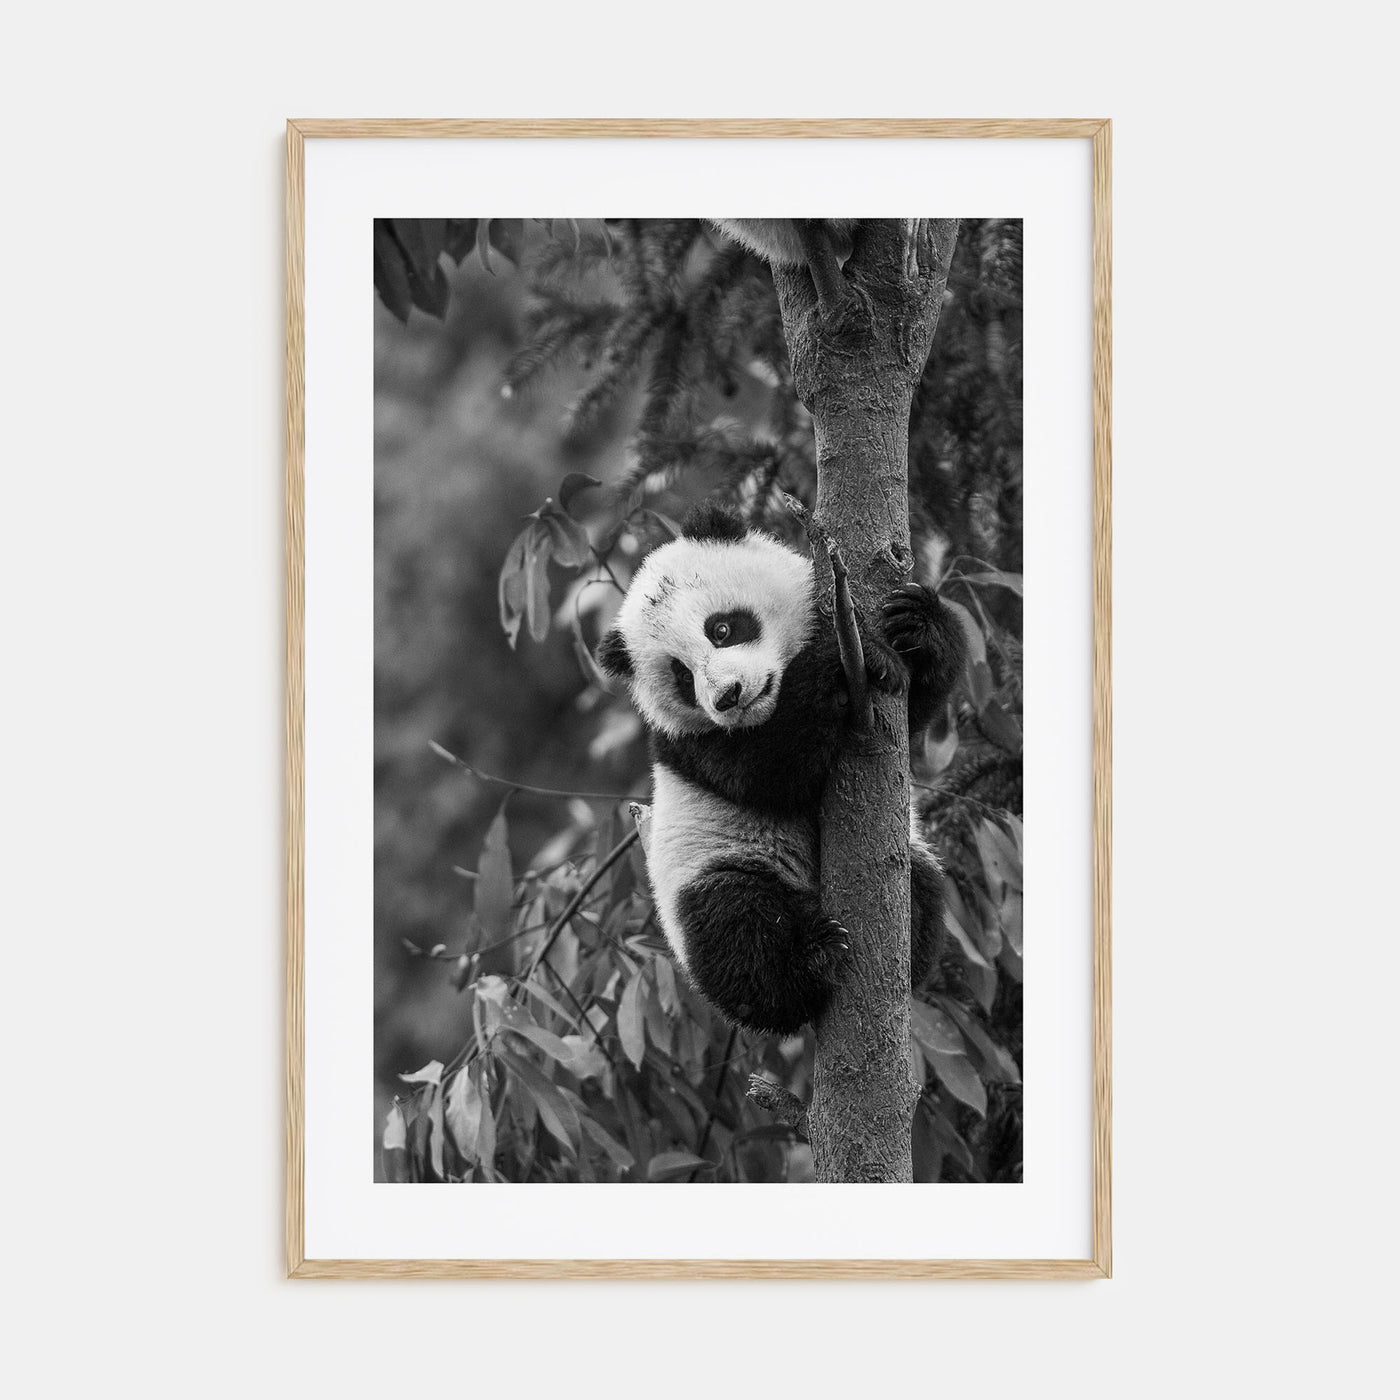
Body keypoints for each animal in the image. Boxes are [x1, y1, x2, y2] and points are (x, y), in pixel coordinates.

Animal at [595, 503, 966, 1036]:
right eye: (682, 676)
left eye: (722, 628)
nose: (728, 697)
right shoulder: (690, 744)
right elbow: (770, 771)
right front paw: (841, 664)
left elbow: (915, 708)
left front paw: (916, 625)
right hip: (713, 867)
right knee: (737, 931)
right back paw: (812, 959)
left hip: (911, 855)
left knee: (925, 885)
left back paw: (907, 948)